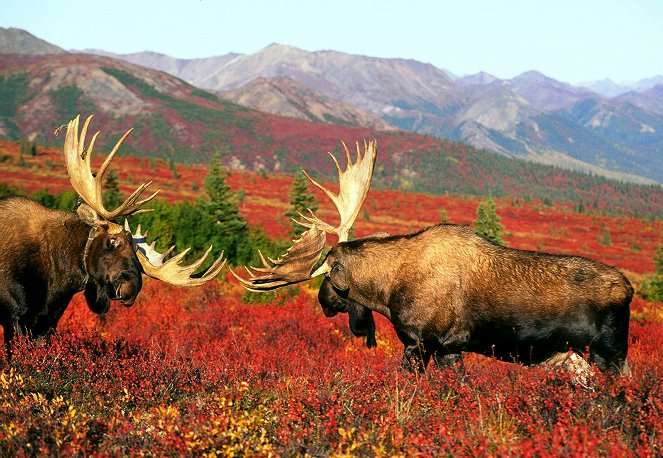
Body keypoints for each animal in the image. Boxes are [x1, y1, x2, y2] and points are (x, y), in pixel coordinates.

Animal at [0, 115, 226, 358]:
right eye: (112, 241)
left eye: (138, 256)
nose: (131, 289)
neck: (57, 278)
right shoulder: (13, 318)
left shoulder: (46, 325)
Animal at [233, 141, 632, 378]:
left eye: (327, 277)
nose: (323, 303)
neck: (387, 291)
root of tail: (628, 289)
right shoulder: (449, 349)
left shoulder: (421, 341)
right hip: (575, 361)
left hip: (609, 355)